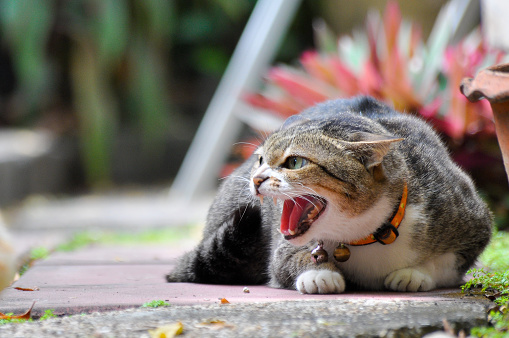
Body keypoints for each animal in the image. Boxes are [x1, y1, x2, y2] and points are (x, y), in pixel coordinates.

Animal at [168, 95, 492, 294]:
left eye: (294, 162)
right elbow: (290, 261)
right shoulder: (280, 253)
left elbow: (447, 263)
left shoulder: (476, 221)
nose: (257, 178)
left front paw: (414, 274)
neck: (364, 235)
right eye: (261, 159)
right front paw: (320, 273)